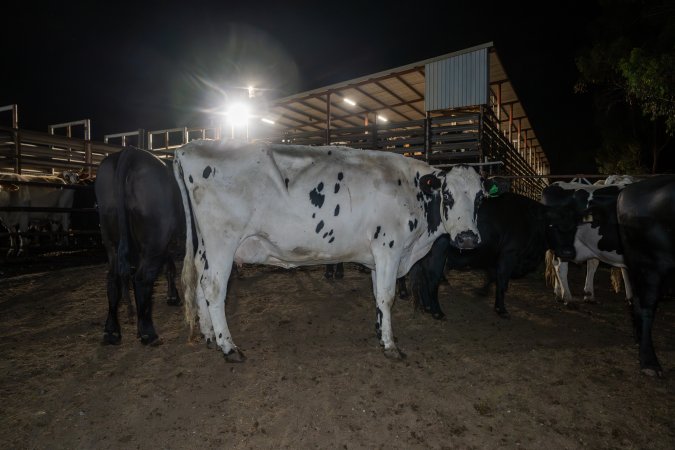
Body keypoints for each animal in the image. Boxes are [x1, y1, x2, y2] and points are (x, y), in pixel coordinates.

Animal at [94, 148, 185, 344]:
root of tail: (130, 152)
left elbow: (170, 267)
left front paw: (173, 296)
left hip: (110, 235)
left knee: (113, 280)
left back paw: (112, 331)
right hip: (156, 235)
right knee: (142, 279)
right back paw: (147, 331)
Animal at [174, 139, 486, 360]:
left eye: (480, 198)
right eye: (448, 194)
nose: (468, 238)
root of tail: (188, 147)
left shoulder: (377, 254)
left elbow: (377, 295)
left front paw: (379, 332)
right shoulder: (389, 247)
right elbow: (387, 296)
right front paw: (390, 345)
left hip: (206, 246)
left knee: (200, 280)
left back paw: (209, 335)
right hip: (222, 241)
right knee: (214, 287)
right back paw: (228, 347)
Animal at [410, 192, 580, 320]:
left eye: (574, 228)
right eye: (552, 226)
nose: (568, 252)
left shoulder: (494, 257)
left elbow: (493, 277)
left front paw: (482, 292)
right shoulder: (509, 255)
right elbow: (502, 282)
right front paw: (501, 309)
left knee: (423, 279)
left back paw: (427, 306)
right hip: (437, 255)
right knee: (432, 280)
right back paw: (437, 312)